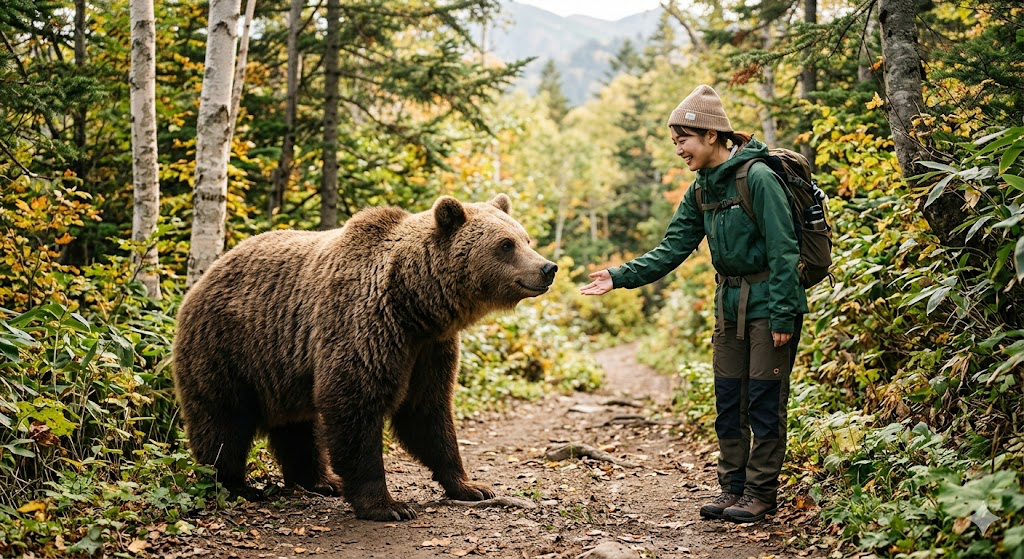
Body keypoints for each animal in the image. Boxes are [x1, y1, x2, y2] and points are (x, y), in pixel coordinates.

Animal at [172, 194, 557, 521]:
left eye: (525, 239)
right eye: (505, 244)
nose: (547, 268)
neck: (415, 304)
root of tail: (205, 276)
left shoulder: (429, 349)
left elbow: (428, 411)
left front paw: (471, 486)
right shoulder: (365, 325)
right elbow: (355, 404)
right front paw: (388, 506)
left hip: (282, 368)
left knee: (297, 425)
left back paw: (321, 481)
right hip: (226, 348)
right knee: (223, 420)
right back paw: (235, 485)